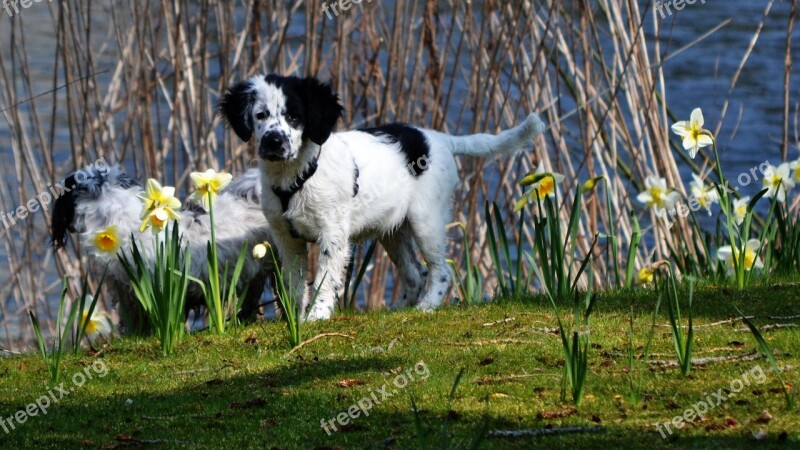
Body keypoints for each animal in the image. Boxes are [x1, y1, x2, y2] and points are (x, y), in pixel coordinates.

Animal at [217, 74, 544, 320]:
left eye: (294, 117)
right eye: (260, 115)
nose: (274, 141)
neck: (298, 175)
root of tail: (440, 139)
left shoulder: (333, 235)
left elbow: (324, 280)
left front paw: (315, 318)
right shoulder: (286, 238)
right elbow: (295, 285)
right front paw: (296, 320)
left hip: (426, 221)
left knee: (441, 271)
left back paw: (426, 308)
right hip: (393, 230)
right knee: (414, 275)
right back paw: (396, 311)